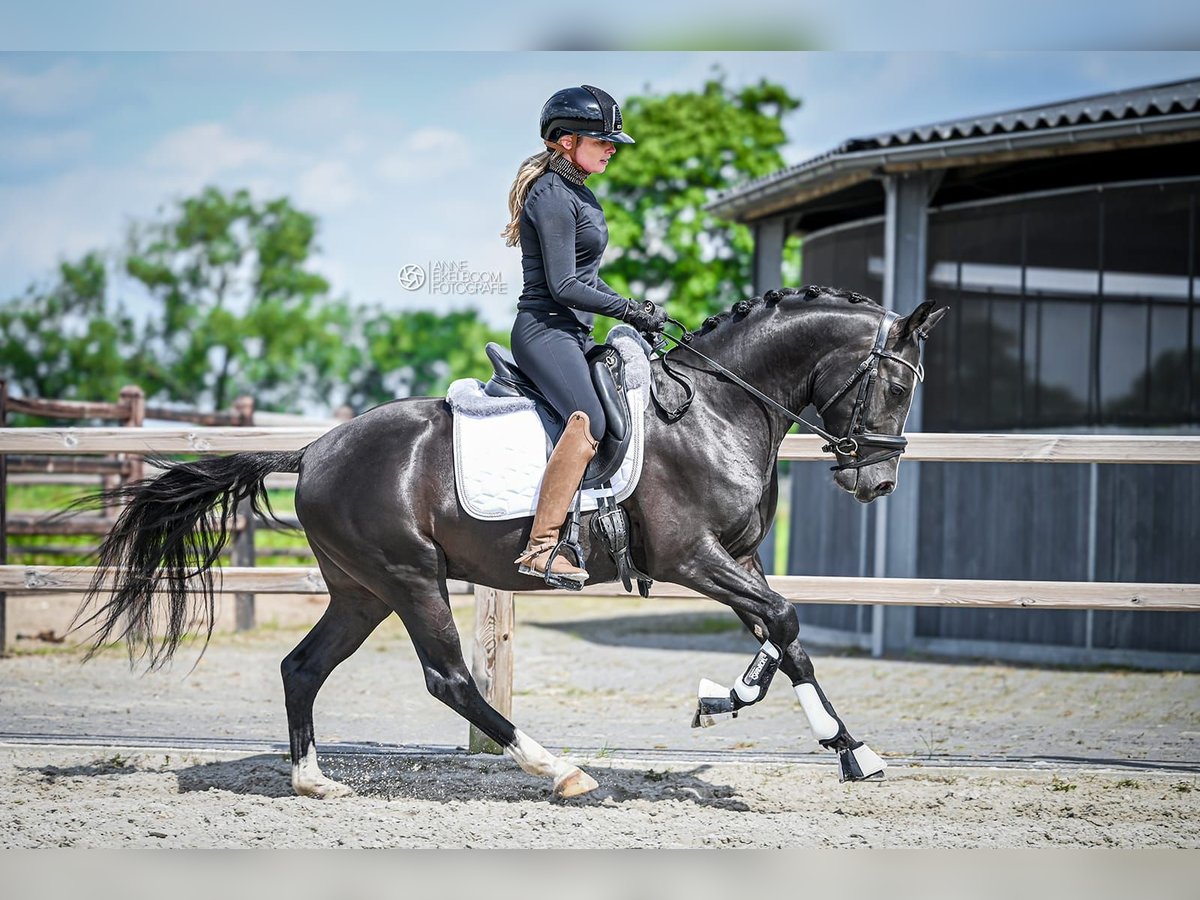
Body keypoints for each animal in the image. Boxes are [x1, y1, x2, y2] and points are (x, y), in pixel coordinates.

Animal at [72, 285, 945, 801]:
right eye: (900, 383)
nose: (876, 482)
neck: (714, 408)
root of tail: (314, 450)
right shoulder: (691, 557)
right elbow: (786, 621)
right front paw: (836, 743)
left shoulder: (740, 556)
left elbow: (779, 632)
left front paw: (761, 712)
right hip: (410, 580)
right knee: (450, 679)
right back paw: (558, 769)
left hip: (361, 592)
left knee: (302, 667)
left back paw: (314, 782)